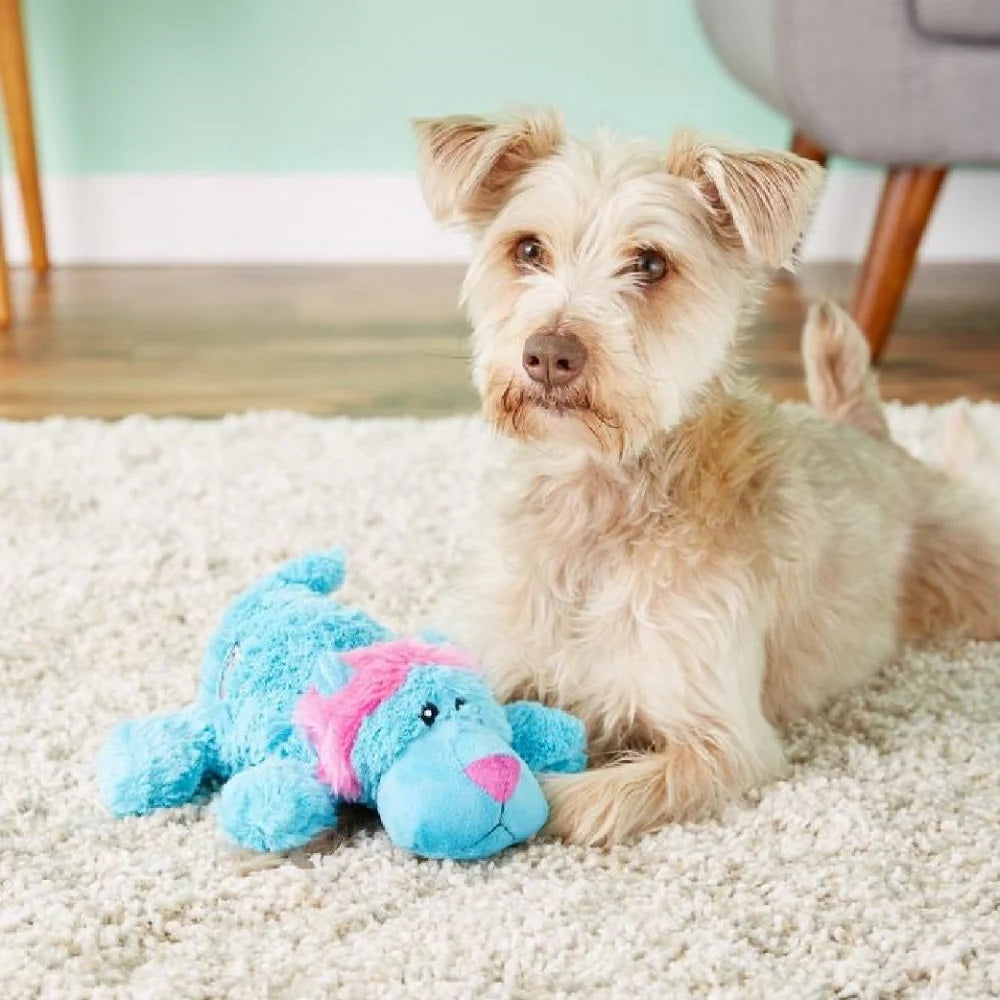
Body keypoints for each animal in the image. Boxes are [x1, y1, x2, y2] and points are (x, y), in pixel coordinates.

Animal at [408, 111, 1000, 844]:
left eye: (650, 264)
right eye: (528, 250)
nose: (548, 354)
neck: (599, 504)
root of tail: (872, 437)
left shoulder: (724, 741)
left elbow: (572, 801)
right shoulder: (498, 655)